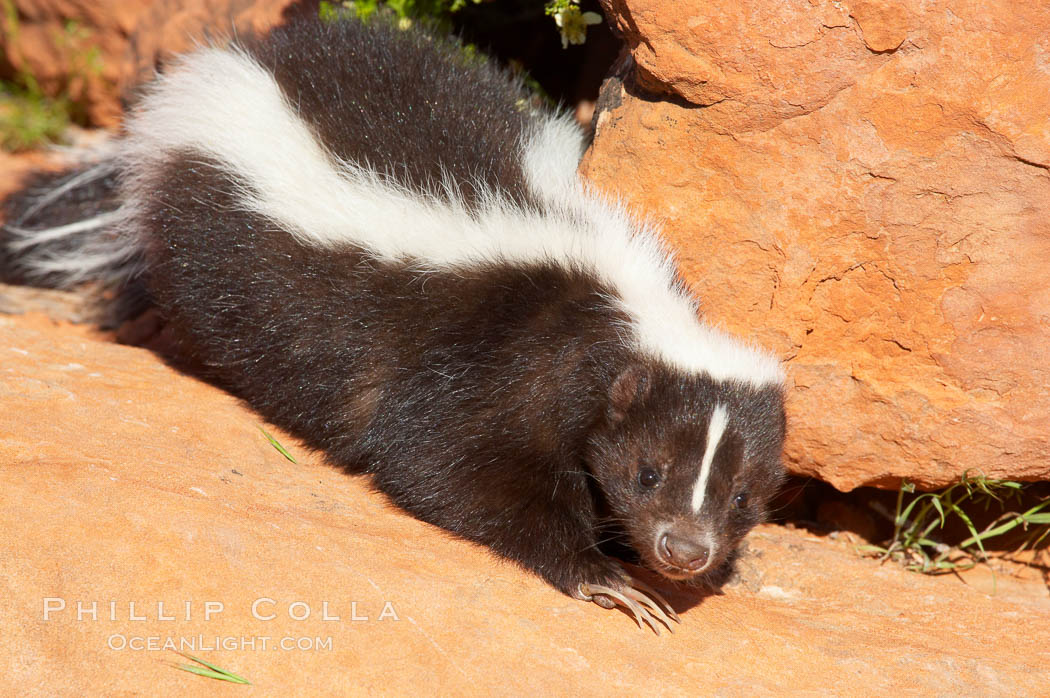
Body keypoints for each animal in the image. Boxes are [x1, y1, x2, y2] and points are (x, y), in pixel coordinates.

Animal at [2, 17, 789, 629]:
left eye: (743, 496)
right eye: (648, 470)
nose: (683, 550)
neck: (610, 309)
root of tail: (229, 65)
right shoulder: (485, 363)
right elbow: (448, 468)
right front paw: (604, 578)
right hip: (216, 255)